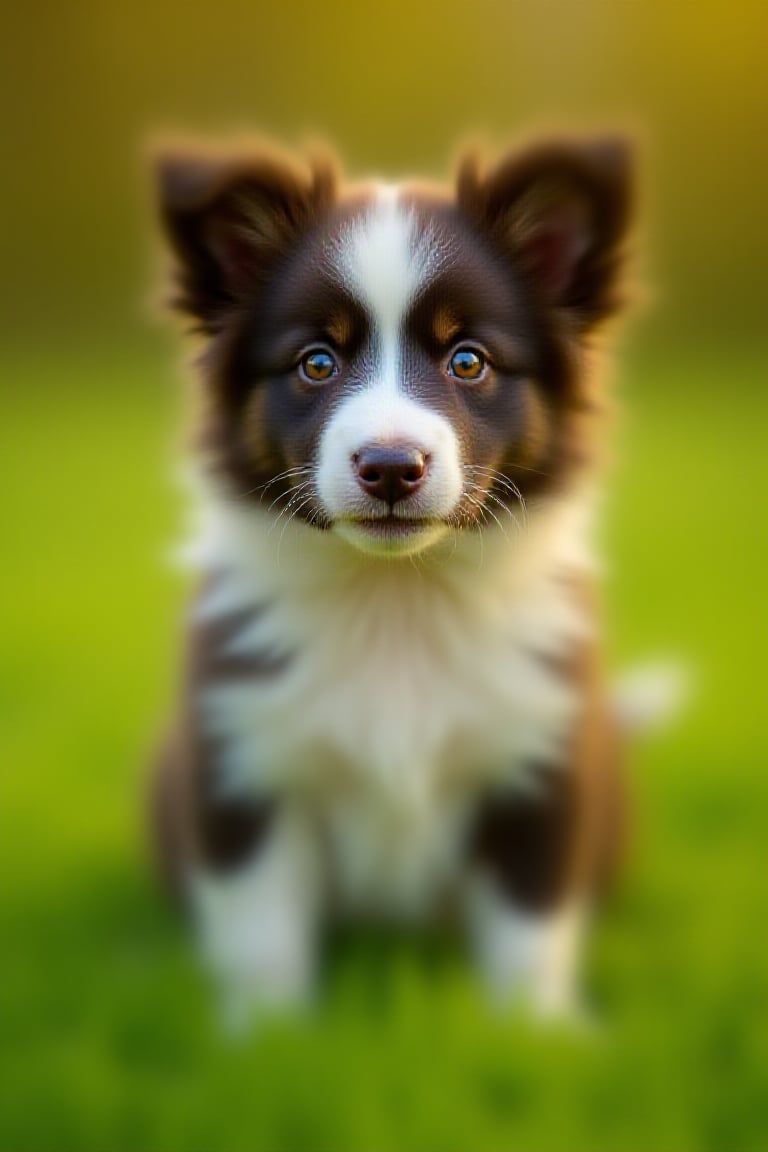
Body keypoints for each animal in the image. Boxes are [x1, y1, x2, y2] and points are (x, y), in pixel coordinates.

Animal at [153, 137, 635, 1027]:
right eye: (315, 362)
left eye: (468, 359)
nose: (388, 467)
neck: (397, 598)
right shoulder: (243, 758)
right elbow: (259, 929)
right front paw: (266, 1042)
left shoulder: (542, 760)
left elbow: (530, 927)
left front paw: (536, 1039)